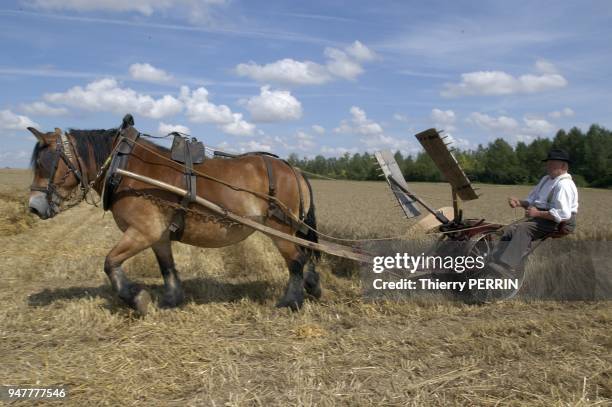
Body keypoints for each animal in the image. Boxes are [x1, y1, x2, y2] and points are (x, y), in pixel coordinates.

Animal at [26, 118, 320, 316]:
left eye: (45, 163)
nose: (34, 207)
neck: (125, 168)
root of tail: (293, 169)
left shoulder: (142, 231)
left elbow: (110, 263)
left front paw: (136, 299)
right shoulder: (158, 235)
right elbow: (167, 267)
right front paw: (171, 299)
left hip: (279, 229)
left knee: (296, 260)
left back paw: (290, 302)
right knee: (305, 256)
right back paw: (313, 286)